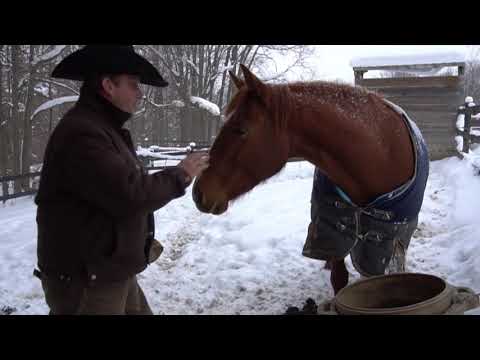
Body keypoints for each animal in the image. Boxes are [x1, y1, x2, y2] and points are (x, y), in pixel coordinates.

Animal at [193, 64, 430, 296]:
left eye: (242, 129)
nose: (198, 193)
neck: (382, 155)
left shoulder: (383, 243)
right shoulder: (334, 229)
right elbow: (339, 279)